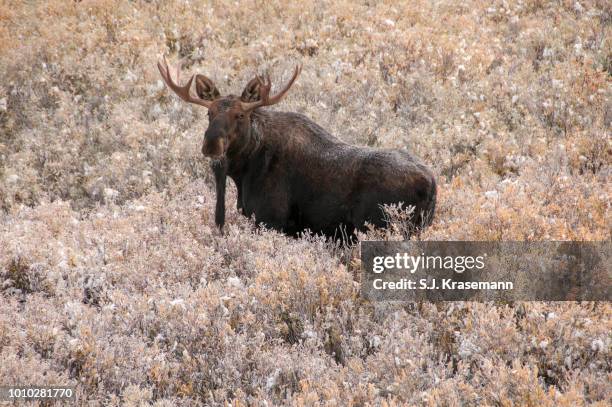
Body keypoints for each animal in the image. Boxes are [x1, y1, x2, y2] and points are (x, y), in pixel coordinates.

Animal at [157, 57, 436, 239]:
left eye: (240, 115)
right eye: (209, 114)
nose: (211, 144)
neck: (244, 171)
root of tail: (431, 184)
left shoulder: (271, 220)